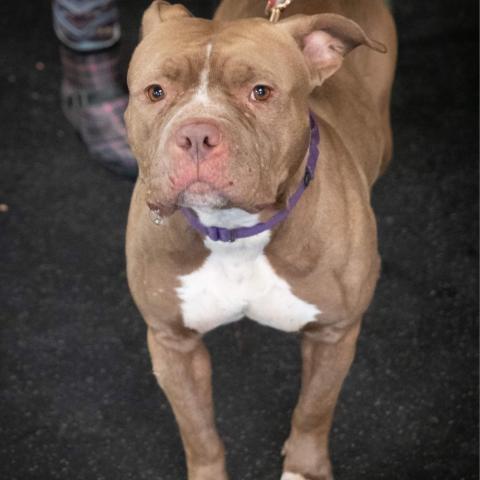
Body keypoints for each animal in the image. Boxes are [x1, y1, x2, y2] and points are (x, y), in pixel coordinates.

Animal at [124, 1, 398, 478]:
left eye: (260, 92)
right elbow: (198, 431)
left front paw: (305, 468)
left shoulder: (335, 333)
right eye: (156, 92)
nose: (196, 134)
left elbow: (314, 409)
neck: (235, 233)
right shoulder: (171, 341)